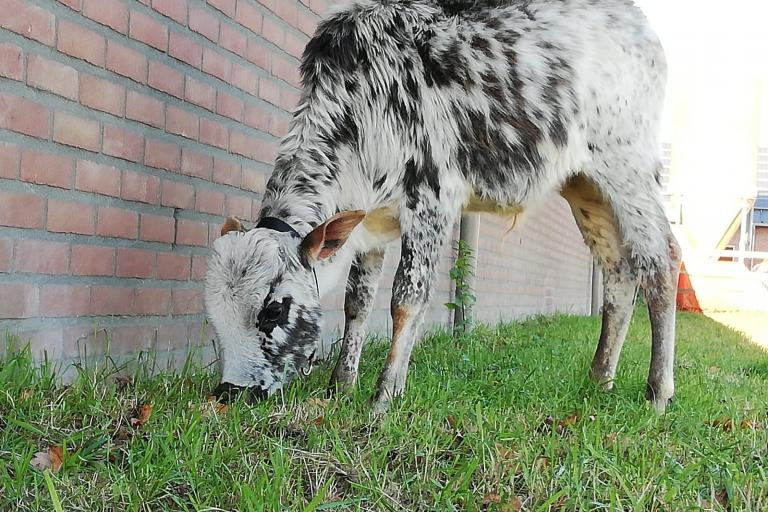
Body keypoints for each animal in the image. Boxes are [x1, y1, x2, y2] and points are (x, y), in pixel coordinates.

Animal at [204, 0, 680, 414]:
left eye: (272, 310)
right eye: (212, 314)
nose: (231, 392)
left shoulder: (432, 199)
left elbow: (406, 297)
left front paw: (383, 396)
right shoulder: (369, 224)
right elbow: (358, 302)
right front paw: (341, 386)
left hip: (628, 167)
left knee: (662, 260)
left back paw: (657, 393)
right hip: (585, 185)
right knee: (619, 270)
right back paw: (599, 379)